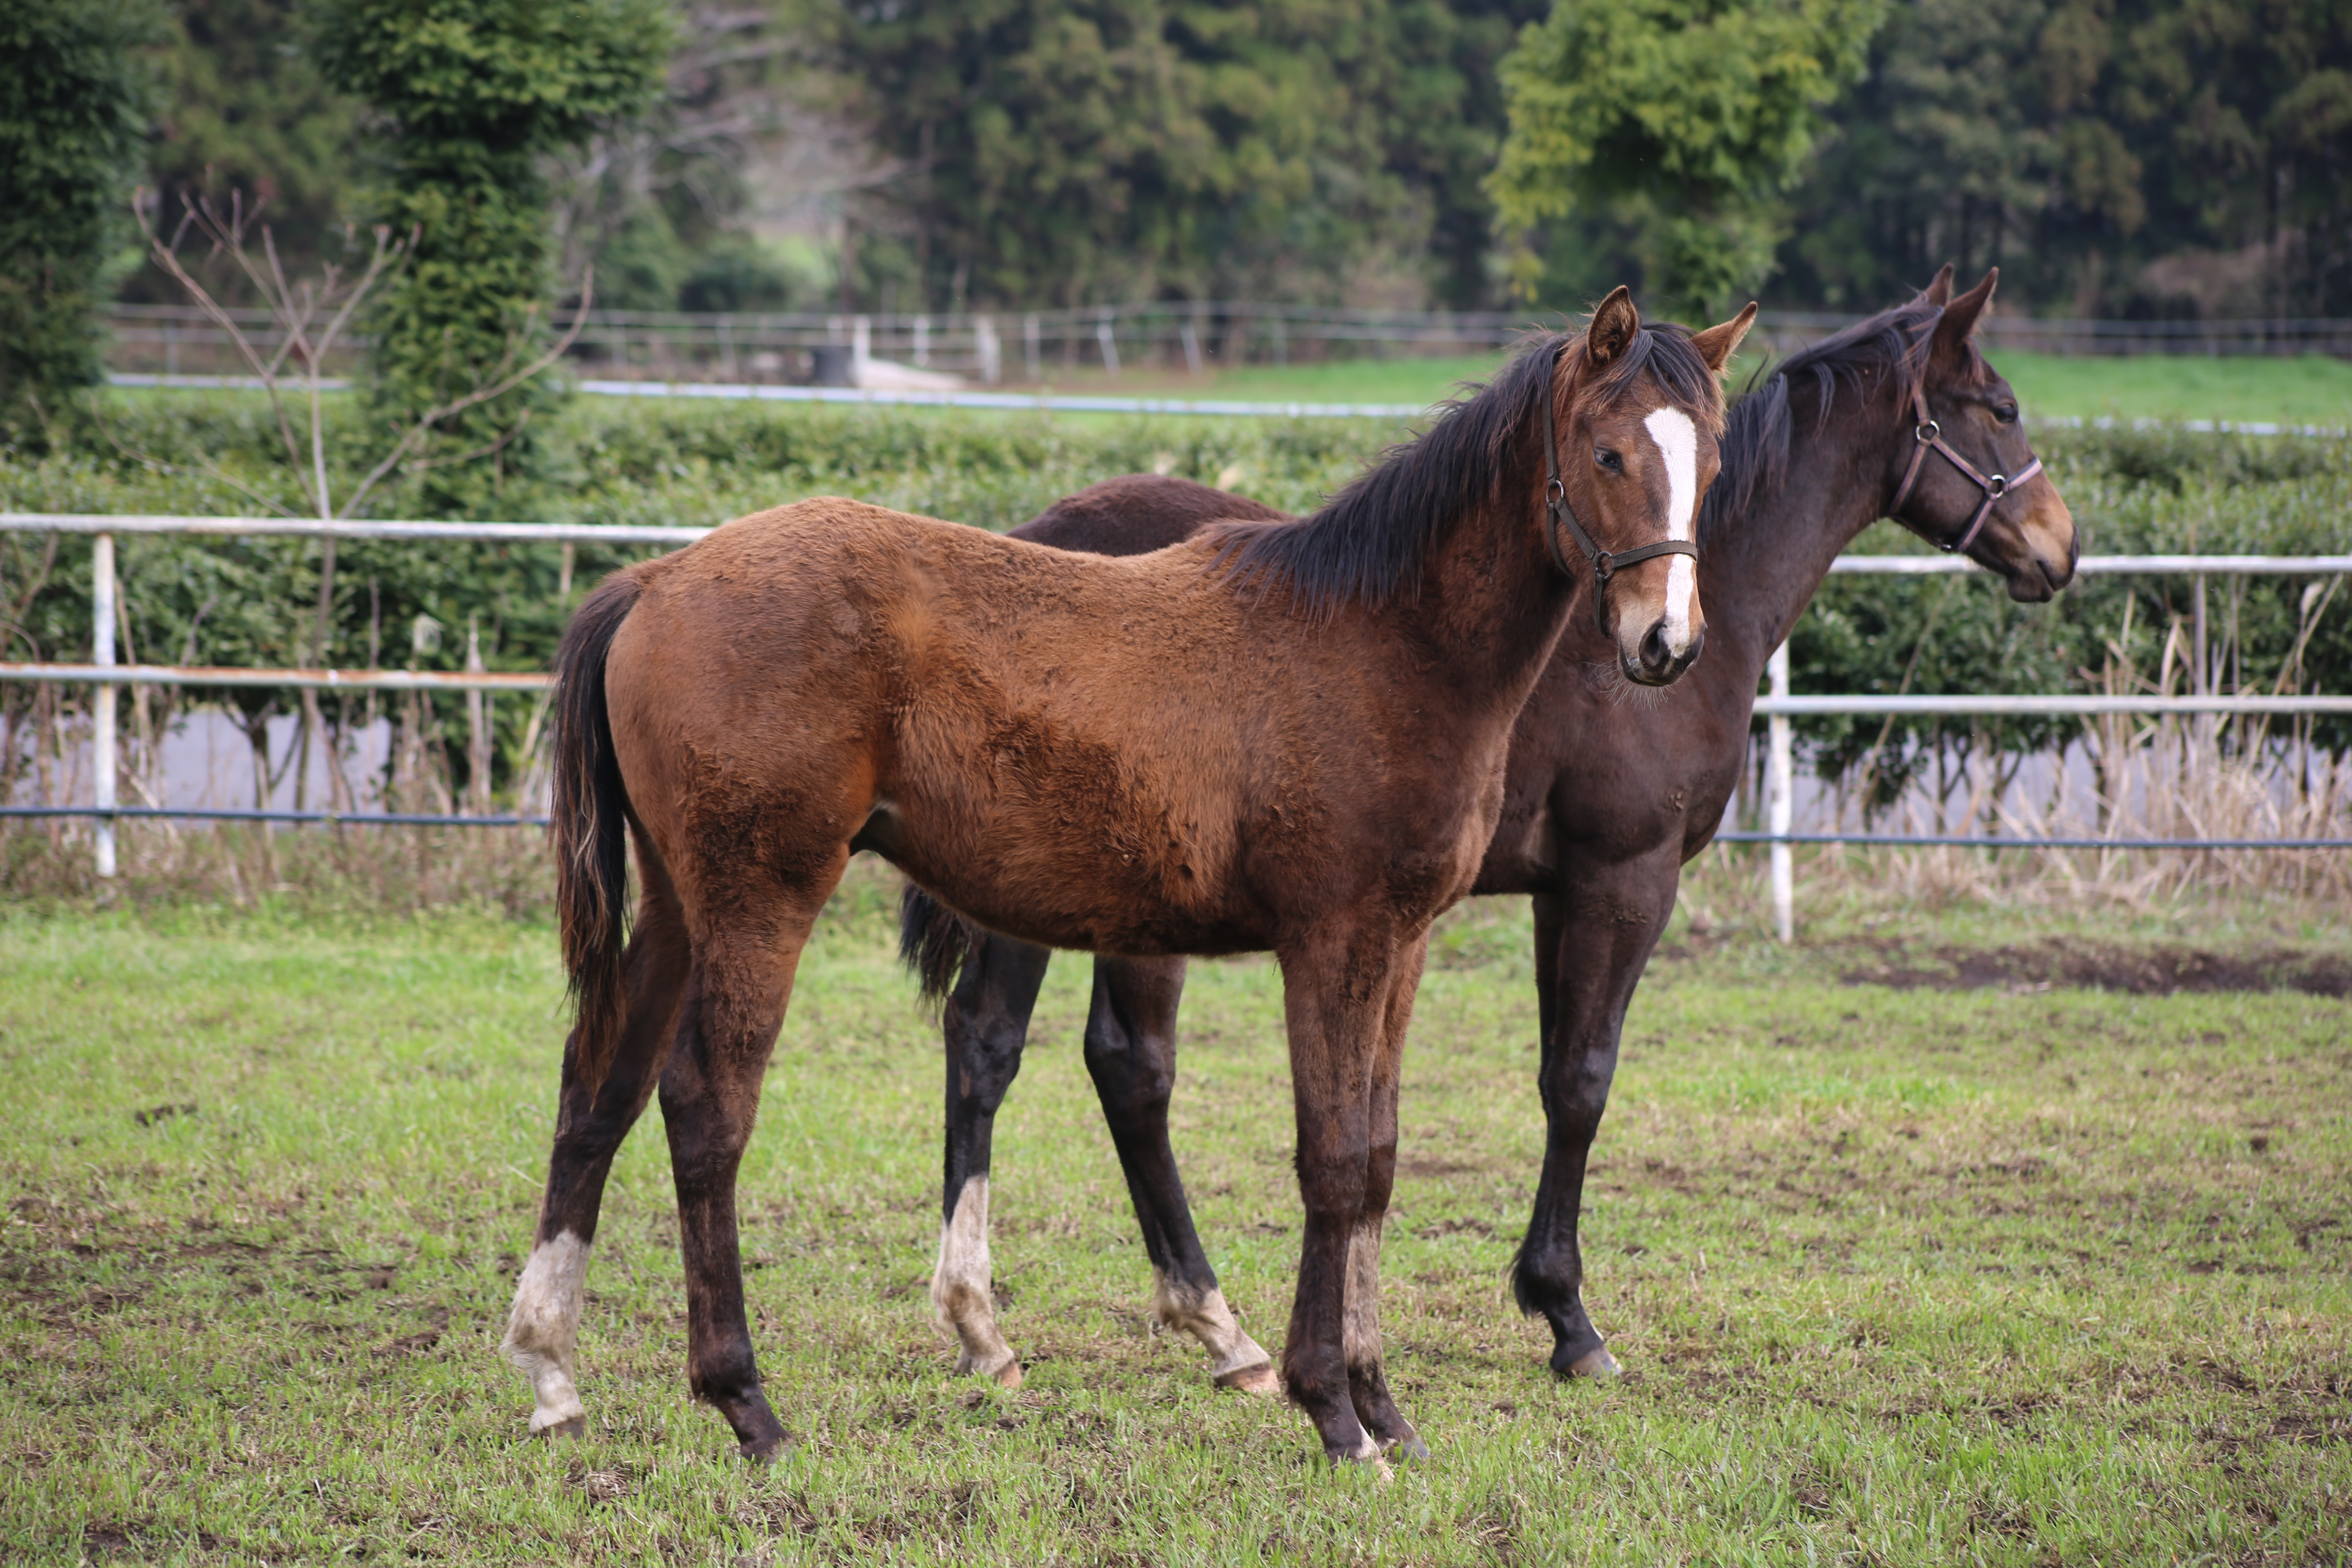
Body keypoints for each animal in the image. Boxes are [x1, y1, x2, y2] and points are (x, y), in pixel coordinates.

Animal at [491, 288, 1750, 1467]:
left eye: (1710, 463)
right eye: (1607, 453)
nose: (1664, 644)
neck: (1384, 639)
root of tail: (658, 578)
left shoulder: (1402, 942)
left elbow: (1382, 1160)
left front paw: (1382, 1405)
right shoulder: (1332, 940)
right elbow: (1333, 1161)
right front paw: (1332, 1413)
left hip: (679, 906)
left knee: (599, 1089)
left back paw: (551, 1372)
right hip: (761, 900)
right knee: (706, 1107)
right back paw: (746, 1402)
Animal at [889, 270, 2069, 1401]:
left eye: (1711, 460)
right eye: (2000, 408)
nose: (2060, 546)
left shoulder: (1557, 890)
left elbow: (1553, 1072)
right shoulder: (1623, 881)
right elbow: (1581, 1082)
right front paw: (1568, 1319)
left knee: (1032, 1048)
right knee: (1089, 1060)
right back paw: (1166, 1329)